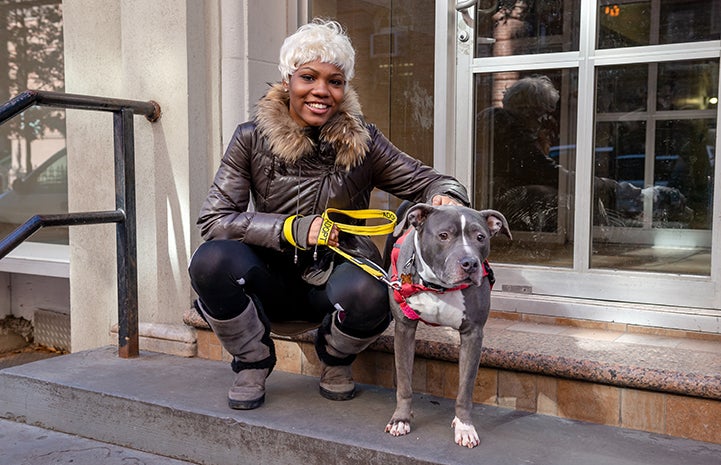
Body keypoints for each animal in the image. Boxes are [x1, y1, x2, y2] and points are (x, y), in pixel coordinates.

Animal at [386, 202, 510, 446]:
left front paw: (465, 427)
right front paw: (400, 420)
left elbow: (465, 389)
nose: (470, 263)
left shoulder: (473, 334)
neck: (439, 287)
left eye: (480, 237)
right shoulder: (404, 328)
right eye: (443, 235)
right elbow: (404, 381)